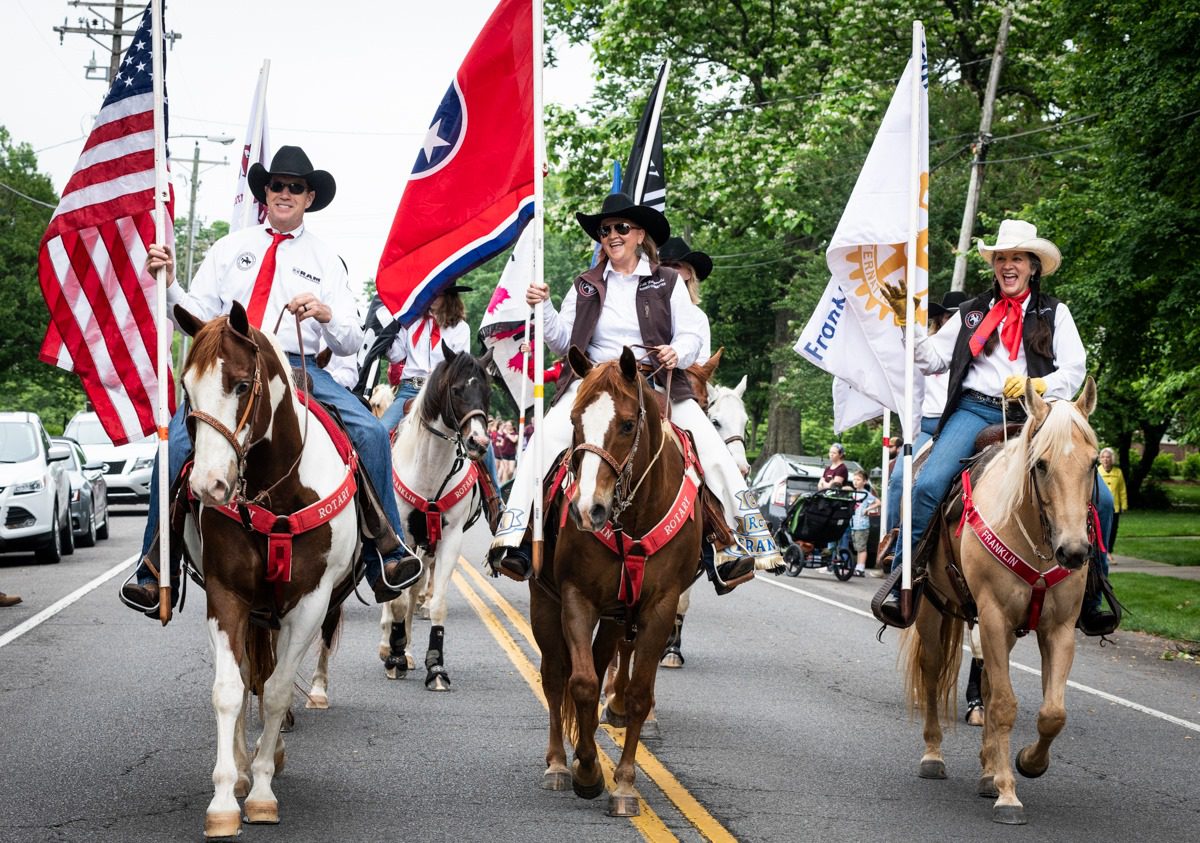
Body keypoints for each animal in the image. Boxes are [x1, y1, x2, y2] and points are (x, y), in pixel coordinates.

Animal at [174, 303, 360, 840]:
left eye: (240, 385)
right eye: (186, 388)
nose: (209, 486)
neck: (274, 494)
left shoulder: (311, 602)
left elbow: (276, 691)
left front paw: (261, 791)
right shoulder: (226, 595)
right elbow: (229, 690)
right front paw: (225, 796)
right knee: (245, 674)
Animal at [372, 345, 489, 691]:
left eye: (487, 391)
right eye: (457, 389)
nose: (478, 442)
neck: (430, 468)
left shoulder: (449, 539)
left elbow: (436, 604)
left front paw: (435, 667)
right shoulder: (404, 538)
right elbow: (397, 601)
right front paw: (394, 658)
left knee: (414, 593)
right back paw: (390, 647)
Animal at [532, 348, 700, 816]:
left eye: (627, 424)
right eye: (574, 420)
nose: (588, 509)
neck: (634, 519)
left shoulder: (660, 605)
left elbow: (640, 692)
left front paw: (623, 784)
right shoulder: (576, 596)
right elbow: (582, 684)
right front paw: (588, 771)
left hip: (614, 618)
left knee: (602, 660)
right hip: (545, 602)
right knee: (555, 675)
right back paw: (558, 762)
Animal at [902, 379, 1099, 830]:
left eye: (1095, 463)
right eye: (1040, 464)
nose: (1074, 552)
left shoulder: (1058, 628)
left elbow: (1051, 712)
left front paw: (1026, 764)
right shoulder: (991, 616)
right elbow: (1006, 705)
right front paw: (1009, 795)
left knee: (990, 687)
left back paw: (988, 770)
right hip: (933, 609)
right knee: (933, 674)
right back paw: (934, 755)